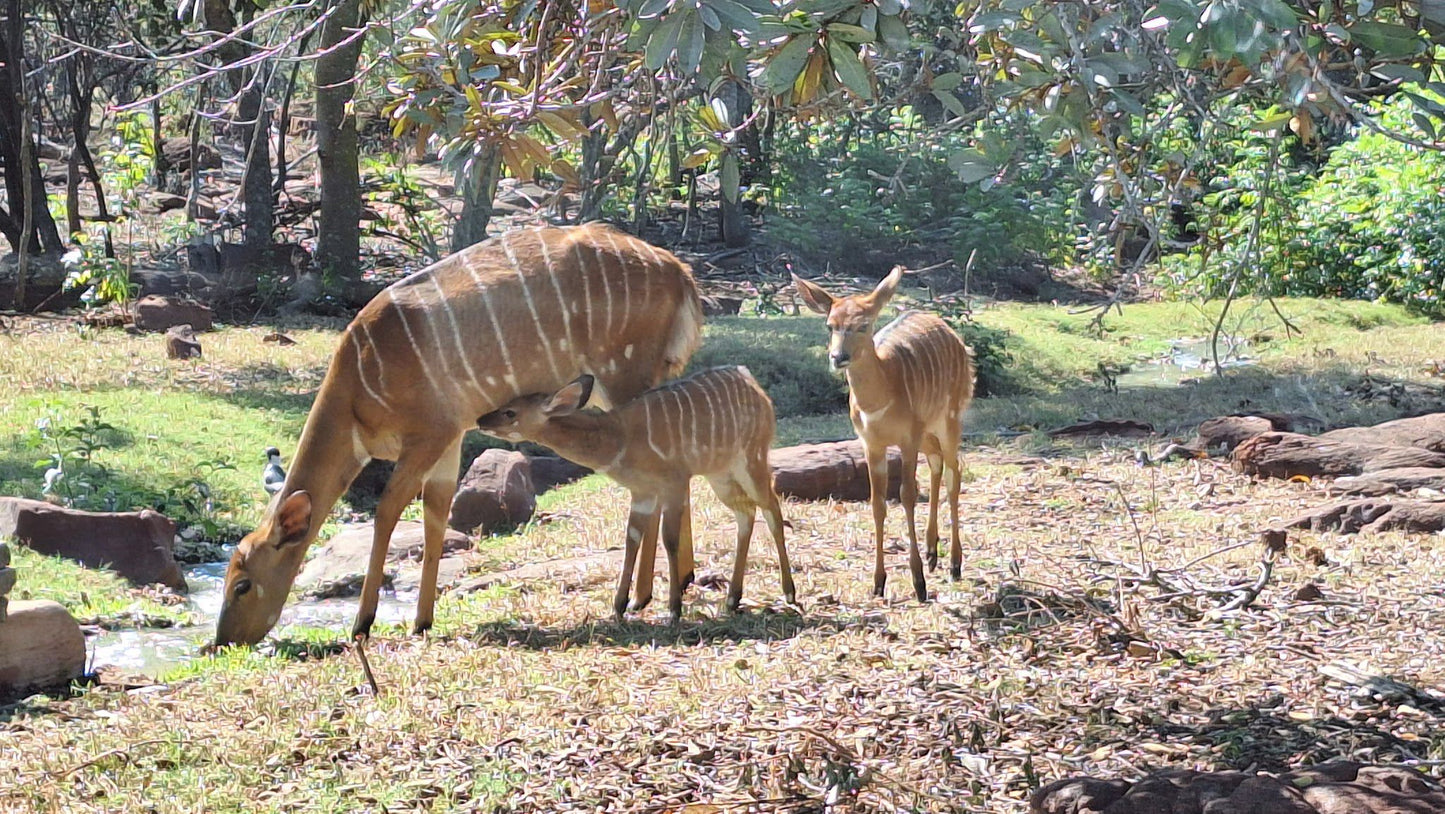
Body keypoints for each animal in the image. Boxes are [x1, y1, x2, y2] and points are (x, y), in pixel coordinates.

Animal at [213, 224, 705, 650]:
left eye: (242, 584)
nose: (221, 641)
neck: (358, 392)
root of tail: (681, 275)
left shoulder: (429, 432)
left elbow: (388, 510)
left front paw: (363, 623)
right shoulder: (450, 439)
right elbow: (436, 514)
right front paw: (421, 621)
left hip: (624, 375)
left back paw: (642, 597)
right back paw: (681, 580)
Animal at [473, 367, 797, 624]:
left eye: (510, 412)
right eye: (505, 404)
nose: (481, 420)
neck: (618, 439)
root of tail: (757, 388)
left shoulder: (674, 483)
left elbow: (670, 539)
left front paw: (673, 610)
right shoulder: (642, 493)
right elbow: (631, 540)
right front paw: (619, 608)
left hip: (751, 459)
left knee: (772, 509)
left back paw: (789, 593)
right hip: (720, 474)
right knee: (746, 512)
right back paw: (732, 599)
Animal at [786, 268, 976, 604]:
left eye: (863, 325)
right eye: (830, 324)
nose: (838, 356)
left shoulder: (907, 438)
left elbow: (907, 496)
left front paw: (918, 584)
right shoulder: (872, 443)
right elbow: (877, 503)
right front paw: (878, 583)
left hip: (950, 417)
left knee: (954, 474)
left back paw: (954, 564)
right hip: (927, 430)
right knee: (938, 463)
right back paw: (932, 553)